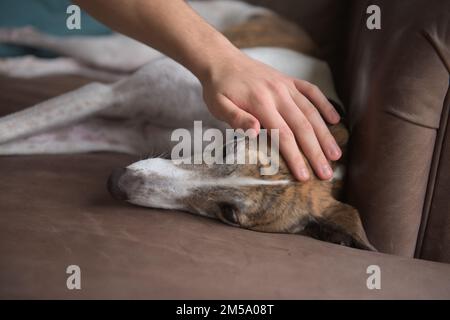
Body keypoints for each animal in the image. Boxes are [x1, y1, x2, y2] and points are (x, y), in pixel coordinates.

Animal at [0, 0, 376, 250]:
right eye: (228, 148)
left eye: (228, 214)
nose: (117, 182)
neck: (208, 127)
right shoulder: (109, 96)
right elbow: (11, 126)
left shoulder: (114, 131)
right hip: (131, 48)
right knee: (59, 43)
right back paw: (14, 37)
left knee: (78, 62)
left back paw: (22, 66)